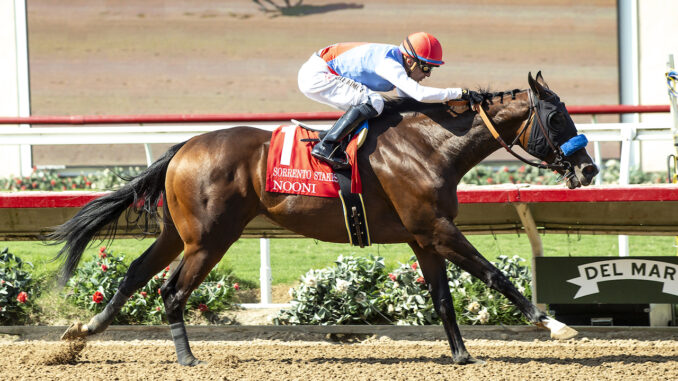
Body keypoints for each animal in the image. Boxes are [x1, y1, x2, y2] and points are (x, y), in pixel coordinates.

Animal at [53, 72, 600, 366]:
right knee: (171, 290)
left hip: (180, 234)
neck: (430, 147)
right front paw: (552, 324)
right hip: (210, 239)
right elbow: (494, 274)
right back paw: (186, 357)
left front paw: (462, 355)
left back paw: (86, 330)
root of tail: (184, 146)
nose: (589, 169)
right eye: (556, 118)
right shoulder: (437, 230)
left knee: (135, 272)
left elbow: (443, 300)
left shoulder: (423, 238)